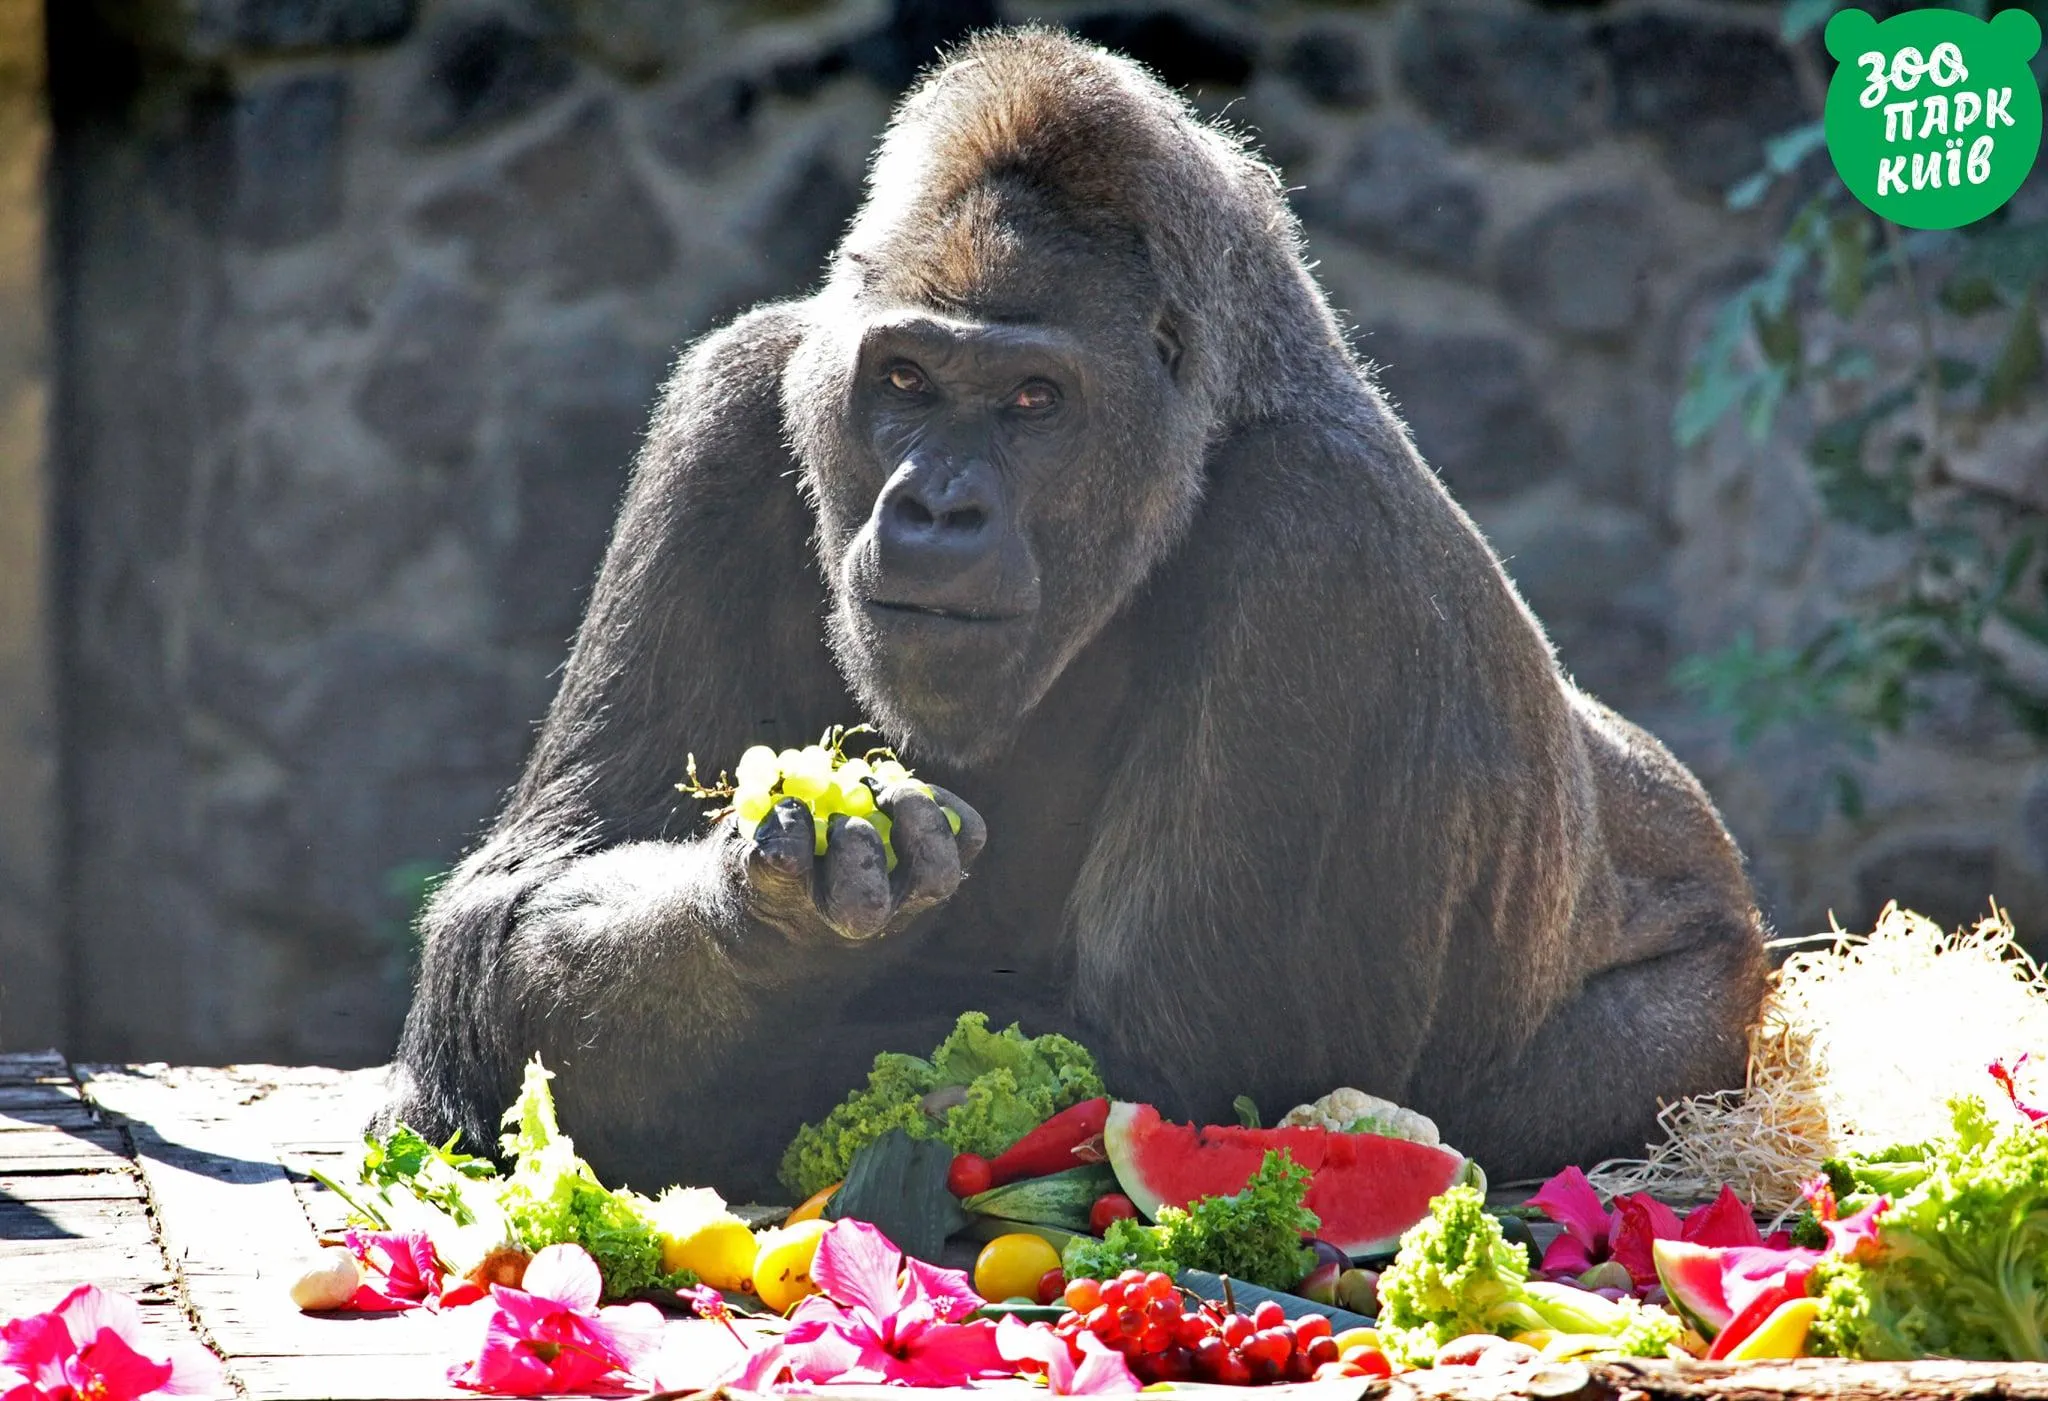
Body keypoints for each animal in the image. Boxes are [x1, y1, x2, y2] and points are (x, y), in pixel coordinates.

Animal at [385, 27, 1777, 1196]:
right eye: (904, 379)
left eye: (1032, 402)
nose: (935, 511)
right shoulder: (729, 404)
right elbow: (519, 899)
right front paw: (766, 918)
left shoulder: (1324, 540)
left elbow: (1157, 1063)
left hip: (1705, 1010)